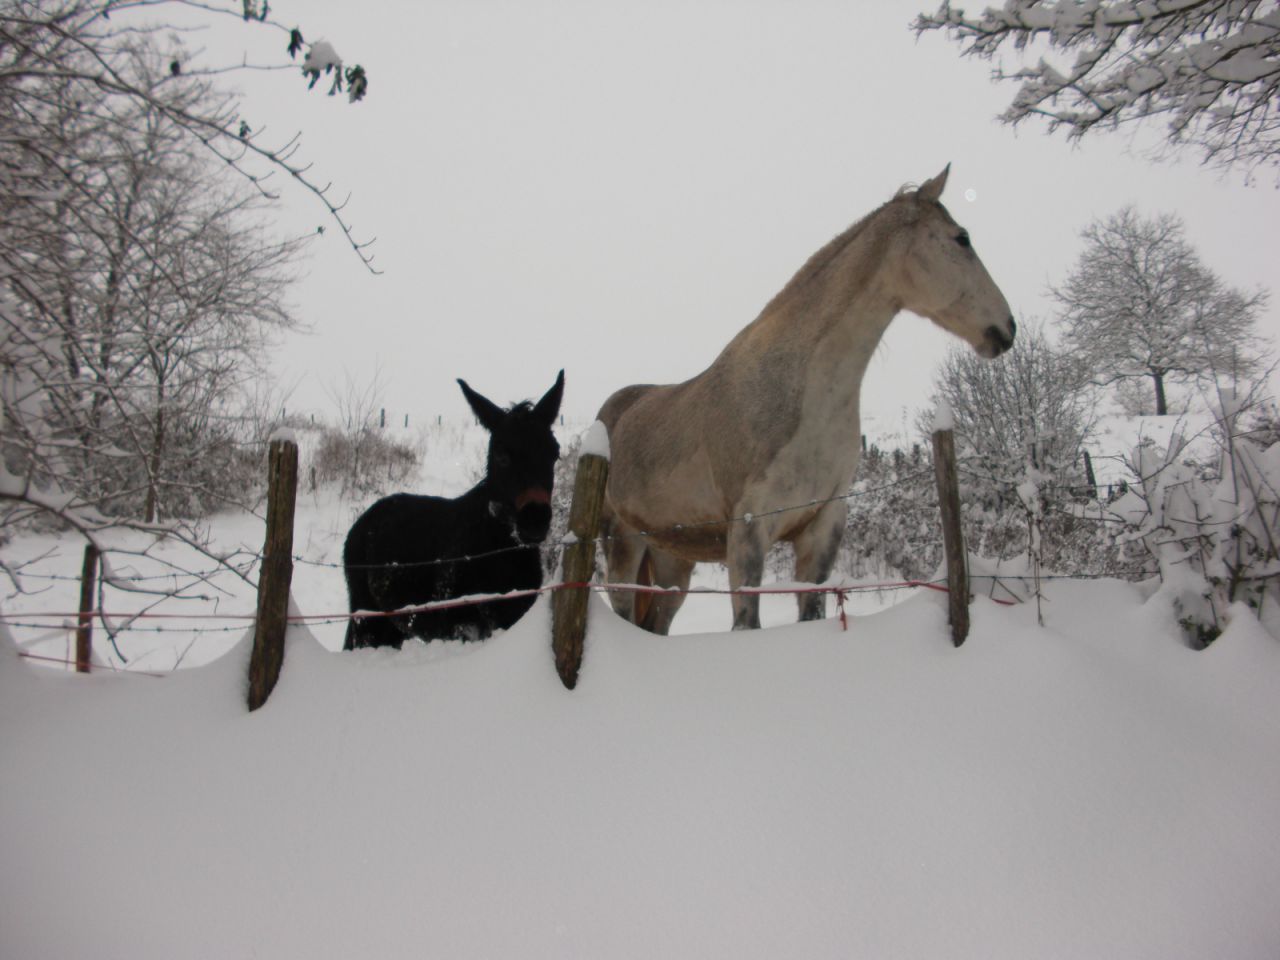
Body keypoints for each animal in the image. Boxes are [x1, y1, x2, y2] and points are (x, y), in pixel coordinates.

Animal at [343, 371, 564, 648]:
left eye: (554, 454)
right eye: (501, 456)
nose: (535, 520)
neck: (496, 549)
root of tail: (364, 519)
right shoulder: (460, 631)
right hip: (368, 621)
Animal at [597, 165, 1014, 633]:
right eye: (962, 238)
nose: (1007, 328)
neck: (800, 394)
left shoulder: (821, 529)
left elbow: (810, 611)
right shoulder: (748, 532)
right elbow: (747, 623)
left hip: (672, 561)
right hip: (623, 544)